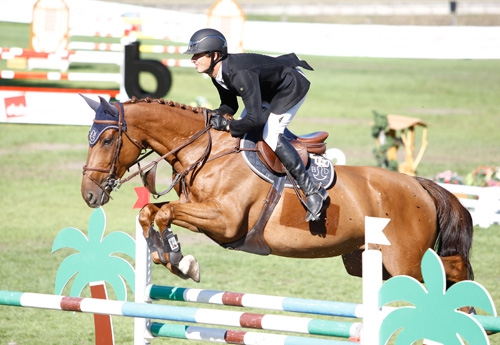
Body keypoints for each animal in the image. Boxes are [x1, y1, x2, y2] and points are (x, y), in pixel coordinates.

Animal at [81, 95, 472, 286]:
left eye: (108, 139)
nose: (88, 195)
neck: (208, 152)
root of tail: (420, 185)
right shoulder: (204, 215)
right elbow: (152, 212)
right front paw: (173, 257)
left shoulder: (225, 221)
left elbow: (163, 211)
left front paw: (179, 259)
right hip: (365, 261)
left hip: (404, 259)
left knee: (453, 269)